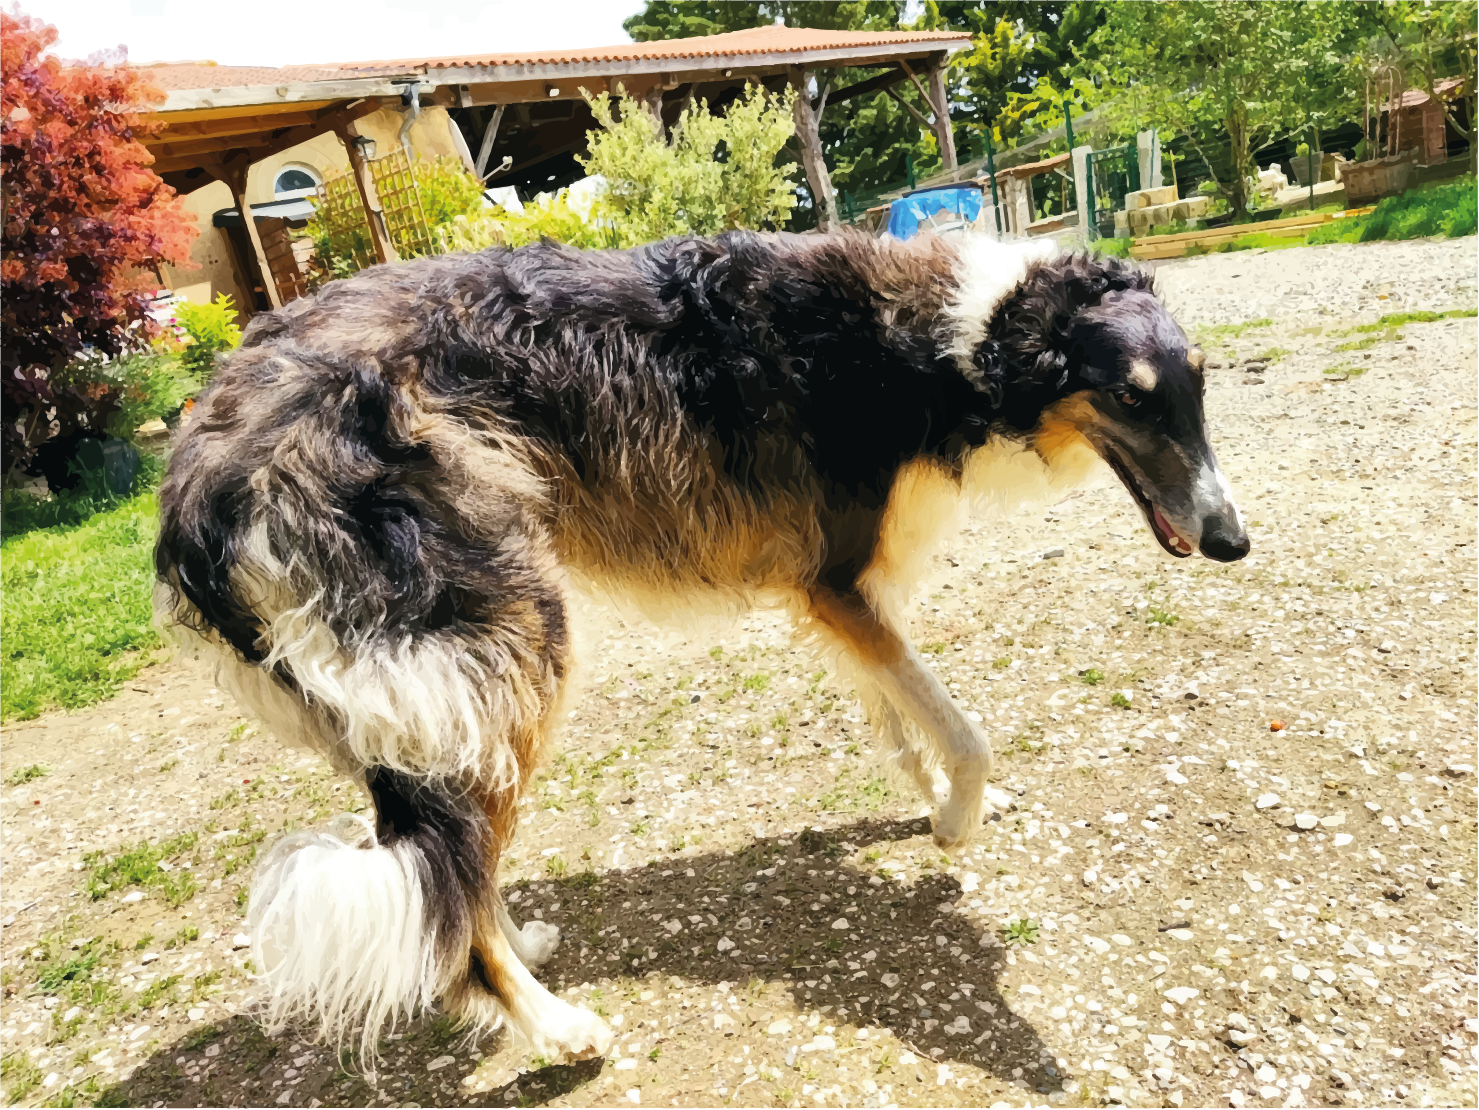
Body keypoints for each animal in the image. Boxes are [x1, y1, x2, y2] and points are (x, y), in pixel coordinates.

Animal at [156, 227, 1248, 1070]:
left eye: (1196, 390)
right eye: (1132, 399)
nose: (1233, 540)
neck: (955, 339)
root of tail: (200, 476)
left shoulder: (839, 597)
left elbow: (901, 719)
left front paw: (929, 799)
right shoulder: (838, 584)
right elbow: (965, 733)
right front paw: (956, 823)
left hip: (401, 708)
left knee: (450, 873)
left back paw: (524, 944)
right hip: (513, 642)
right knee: (454, 887)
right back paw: (555, 1026)